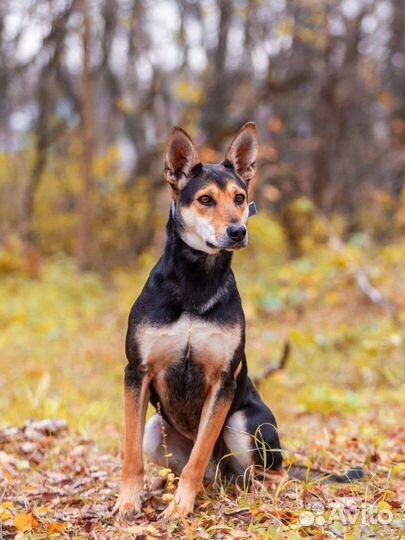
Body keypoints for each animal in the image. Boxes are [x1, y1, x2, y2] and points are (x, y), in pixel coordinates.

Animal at [113, 122, 282, 520]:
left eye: (239, 197)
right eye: (205, 200)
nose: (238, 232)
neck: (196, 281)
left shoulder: (223, 381)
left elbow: (200, 451)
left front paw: (180, 507)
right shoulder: (136, 372)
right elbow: (131, 452)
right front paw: (129, 499)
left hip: (246, 422)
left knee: (268, 473)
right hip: (156, 430)